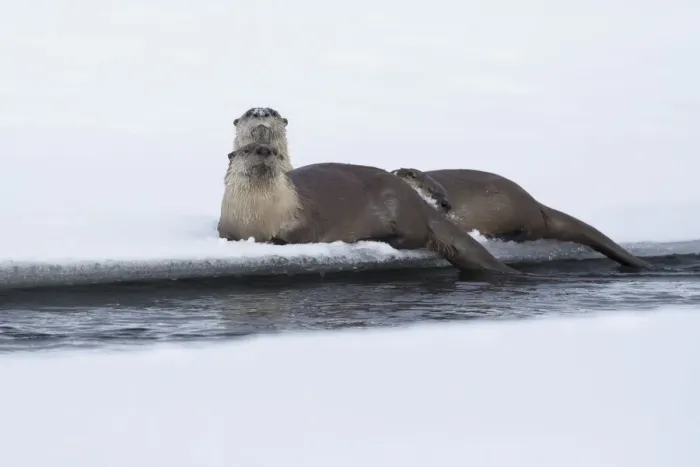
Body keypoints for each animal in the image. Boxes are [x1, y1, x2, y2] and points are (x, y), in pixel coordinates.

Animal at [217, 141, 522, 276]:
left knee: (417, 237)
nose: (264, 151)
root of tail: (419, 203)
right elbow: (225, 235)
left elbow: (295, 237)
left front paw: (274, 242)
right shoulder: (227, 222)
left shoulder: (301, 220)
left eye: (273, 152)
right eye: (247, 150)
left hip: (399, 209)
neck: (258, 216)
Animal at [392, 167, 652, 270]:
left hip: (521, 214)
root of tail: (536, 204)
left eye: (414, 175)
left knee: (530, 231)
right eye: (398, 171)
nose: (400, 171)